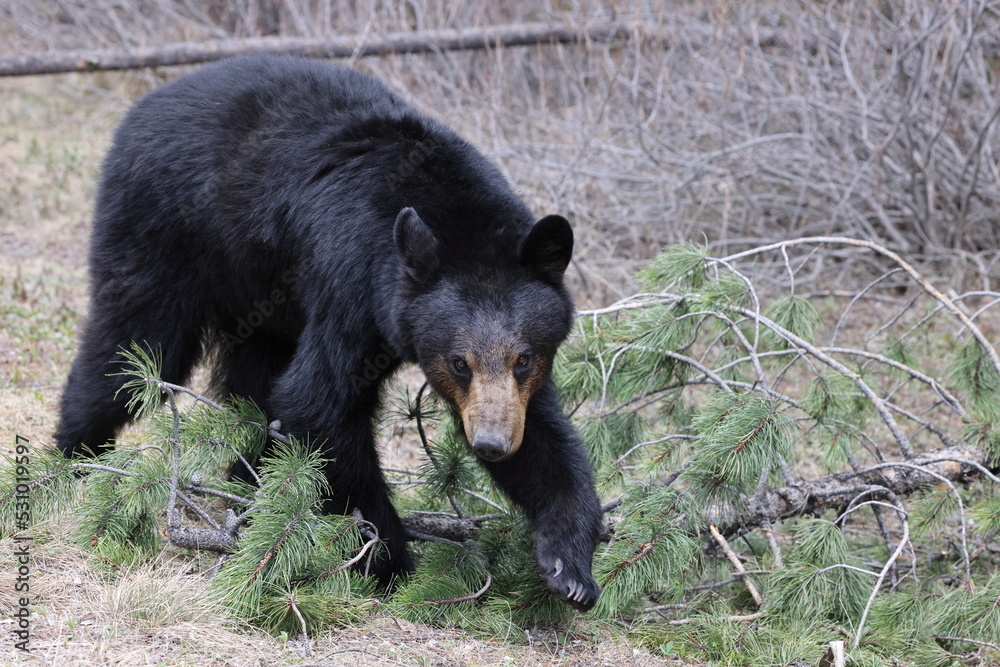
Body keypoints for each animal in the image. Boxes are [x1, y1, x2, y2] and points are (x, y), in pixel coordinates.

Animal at [56, 54, 604, 611]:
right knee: (133, 349)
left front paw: (568, 565)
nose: (492, 445)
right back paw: (73, 463)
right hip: (163, 228)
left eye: (523, 359)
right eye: (459, 362)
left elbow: (543, 431)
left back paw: (248, 488)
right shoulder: (350, 280)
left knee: (251, 381)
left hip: (257, 291)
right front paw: (391, 563)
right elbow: (318, 403)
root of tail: (143, 106)